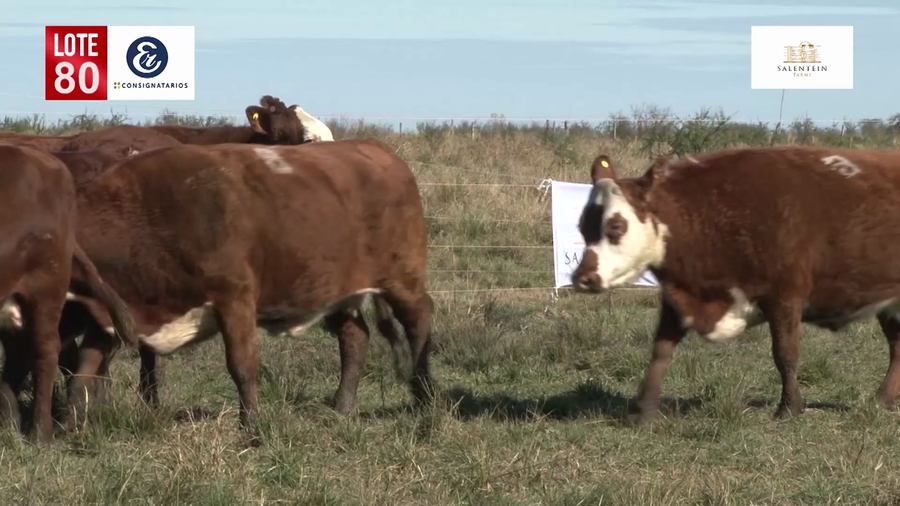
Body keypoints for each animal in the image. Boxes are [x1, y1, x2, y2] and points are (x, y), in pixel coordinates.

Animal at [45, 138, 433, 443]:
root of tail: (377, 149)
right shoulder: (111, 312)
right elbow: (83, 369)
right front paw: (68, 426)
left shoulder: (235, 298)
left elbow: (242, 366)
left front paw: (251, 429)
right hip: (336, 291)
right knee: (355, 337)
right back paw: (343, 407)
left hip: (404, 281)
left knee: (419, 327)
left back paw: (424, 401)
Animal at [570, 146, 900, 424]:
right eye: (582, 225)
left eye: (615, 226)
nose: (582, 278)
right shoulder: (679, 298)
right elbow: (660, 351)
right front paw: (645, 410)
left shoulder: (785, 297)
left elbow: (785, 354)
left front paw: (789, 407)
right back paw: (883, 399)